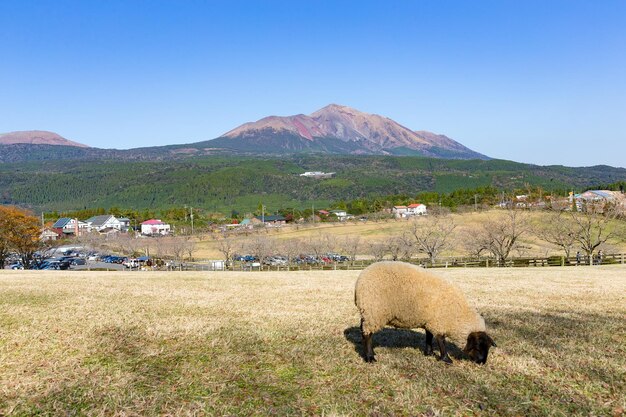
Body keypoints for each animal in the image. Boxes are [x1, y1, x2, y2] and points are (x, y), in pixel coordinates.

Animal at [354, 262, 494, 362]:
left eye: (487, 346)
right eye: (478, 346)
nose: (482, 362)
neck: (457, 314)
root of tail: (359, 280)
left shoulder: (430, 320)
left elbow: (429, 336)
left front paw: (429, 353)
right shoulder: (438, 322)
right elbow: (441, 340)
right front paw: (446, 359)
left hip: (368, 312)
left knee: (363, 330)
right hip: (374, 312)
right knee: (367, 334)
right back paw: (370, 357)